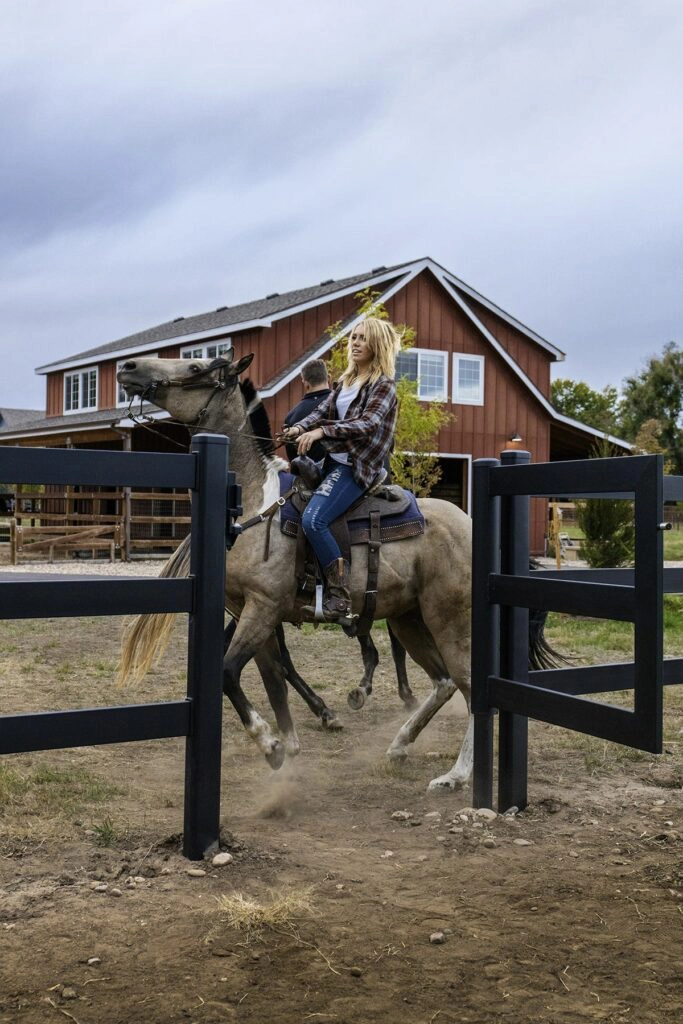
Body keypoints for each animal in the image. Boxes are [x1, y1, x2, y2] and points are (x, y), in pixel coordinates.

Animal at [116, 352, 517, 791]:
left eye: (196, 368)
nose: (129, 367)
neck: (254, 504)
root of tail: (469, 524)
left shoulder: (263, 609)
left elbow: (228, 672)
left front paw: (271, 744)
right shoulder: (250, 613)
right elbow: (274, 681)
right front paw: (287, 749)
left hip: (449, 621)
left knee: (468, 687)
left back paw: (456, 774)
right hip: (408, 619)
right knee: (444, 683)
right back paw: (399, 744)